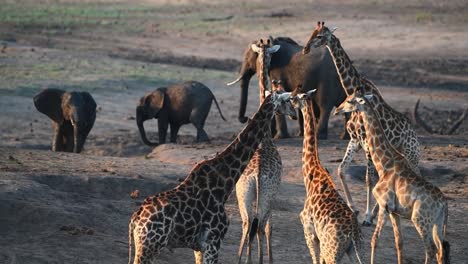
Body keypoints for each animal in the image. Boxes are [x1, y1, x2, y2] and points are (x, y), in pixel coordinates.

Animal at [128, 91, 292, 264]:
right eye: (287, 100)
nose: (293, 114)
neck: (225, 182)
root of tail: (135, 219)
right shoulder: (213, 241)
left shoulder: (199, 246)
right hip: (150, 246)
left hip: (145, 245)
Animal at [288, 87, 364, 264]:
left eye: (293, 98)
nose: (291, 110)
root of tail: (353, 233)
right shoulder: (318, 237)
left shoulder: (309, 230)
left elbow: (315, 260)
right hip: (354, 250)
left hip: (332, 250)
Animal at [304, 21, 420, 226]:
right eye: (312, 32)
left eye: (320, 36)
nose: (306, 48)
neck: (355, 90)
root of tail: (414, 134)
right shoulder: (355, 140)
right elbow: (342, 170)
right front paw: (355, 209)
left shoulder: (367, 143)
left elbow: (368, 178)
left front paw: (366, 216)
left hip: (411, 153)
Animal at [338, 88, 452, 264]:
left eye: (350, 100)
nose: (338, 109)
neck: (384, 163)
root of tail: (443, 204)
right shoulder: (394, 211)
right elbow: (399, 242)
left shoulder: (384, 205)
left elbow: (374, 240)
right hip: (438, 223)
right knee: (442, 249)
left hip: (420, 219)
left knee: (431, 249)